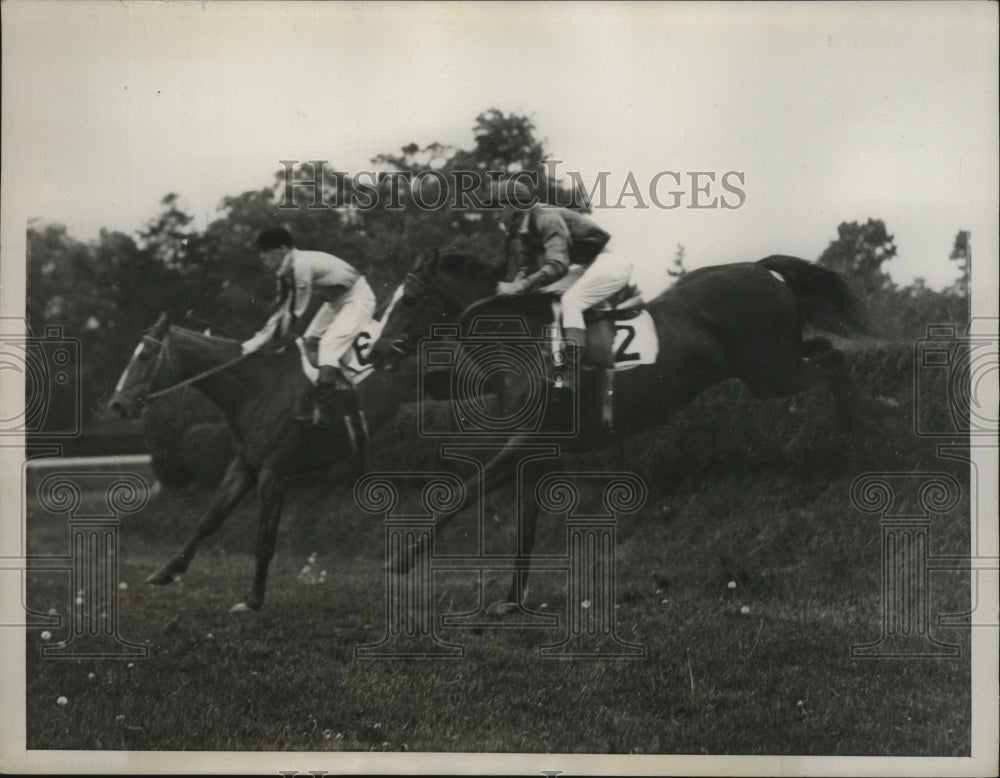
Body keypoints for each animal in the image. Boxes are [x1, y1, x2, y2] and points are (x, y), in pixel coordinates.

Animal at [104, 312, 410, 608]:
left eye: (145, 355)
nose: (117, 405)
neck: (260, 387)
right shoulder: (244, 465)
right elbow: (209, 520)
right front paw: (166, 571)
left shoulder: (274, 472)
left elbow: (264, 538)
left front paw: (254, 599)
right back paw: (402, 561)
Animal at [368, 249, 884, 612]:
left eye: (408, 300)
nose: (372, 351)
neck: (519, 345)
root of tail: (757, 268)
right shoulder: (537, 454)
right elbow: (524, 531)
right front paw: (511, 601)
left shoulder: (524, 442)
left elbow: (463, 492)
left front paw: (402, 558)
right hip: (773, 365)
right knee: (825, 353)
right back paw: (869, 412)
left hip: (770, 370)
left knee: (834, 362)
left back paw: (866, 416)